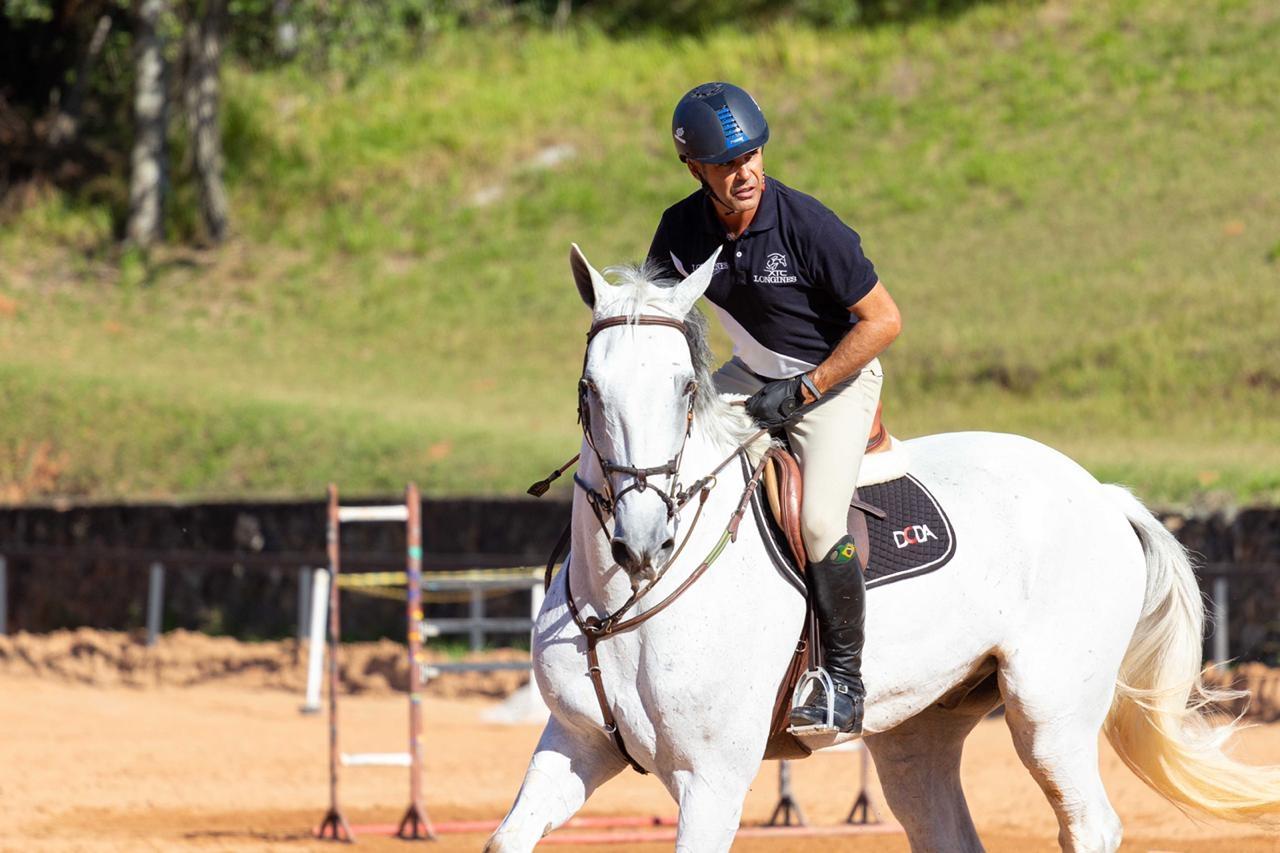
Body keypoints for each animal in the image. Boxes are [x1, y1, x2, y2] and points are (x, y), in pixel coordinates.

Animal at [483, 247, 1274, 850]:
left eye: (684, 390)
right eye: (589, 388)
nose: (642, 540)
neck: (626, 602)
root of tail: (1102, 493)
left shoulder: (711, 778)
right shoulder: (575, 745)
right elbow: (509, 837)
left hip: (1049, 712)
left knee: (1089, 824)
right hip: (919, 729)